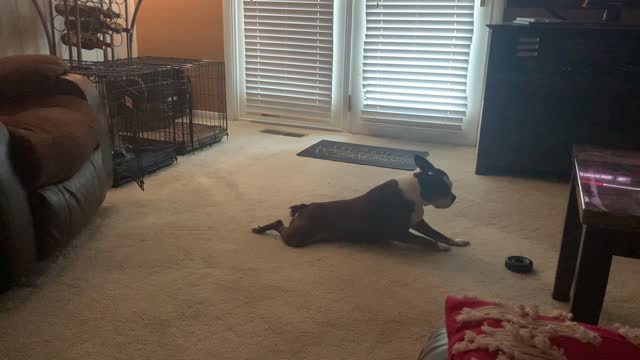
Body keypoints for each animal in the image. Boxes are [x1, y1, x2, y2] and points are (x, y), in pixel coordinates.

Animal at [251, 154, 470, 250]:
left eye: (450, 188)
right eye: (444, 191)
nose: (454, 197)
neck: (416, 194)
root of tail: (306, 207)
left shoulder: (417, 222)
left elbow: (437, 233)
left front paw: (456, 241)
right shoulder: (399, 232)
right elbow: (426, 240)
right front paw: (439, 247)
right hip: (298, 237)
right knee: (279, 223)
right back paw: (260, 229)